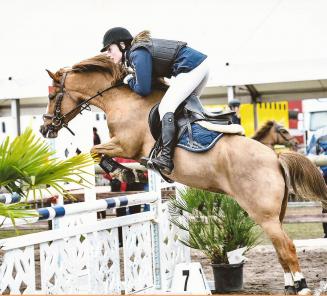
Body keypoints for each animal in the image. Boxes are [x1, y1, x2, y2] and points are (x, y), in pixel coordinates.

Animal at [41, 55, 327, 294]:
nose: (45, 129)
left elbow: (95, 151)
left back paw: (302, 288)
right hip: (276, 213)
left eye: (53, 96)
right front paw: (125, 173)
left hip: (263, 213)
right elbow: (96, 152)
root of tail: (275, 157)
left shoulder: (126, 145)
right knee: (281, 249)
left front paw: (122, 173)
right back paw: (290, 286)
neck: (122, 102)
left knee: (287, 248)